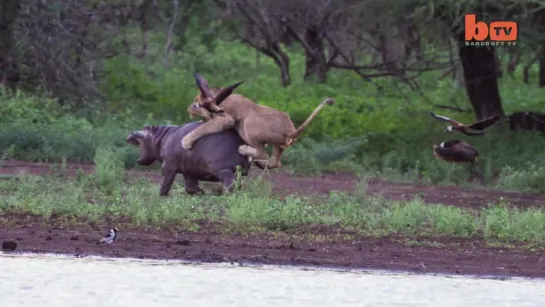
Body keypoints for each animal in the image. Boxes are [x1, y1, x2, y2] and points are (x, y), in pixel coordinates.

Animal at [182, 73, 332, 170]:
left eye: (195, 104)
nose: (188, 109)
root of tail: (292, 130)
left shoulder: (227, 120)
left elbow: (203, 128)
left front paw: (186, 141)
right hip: (279, 146)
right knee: (276, 162)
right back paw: (258, 162)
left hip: (248, 125)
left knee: (263, 153)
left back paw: (244, 150)